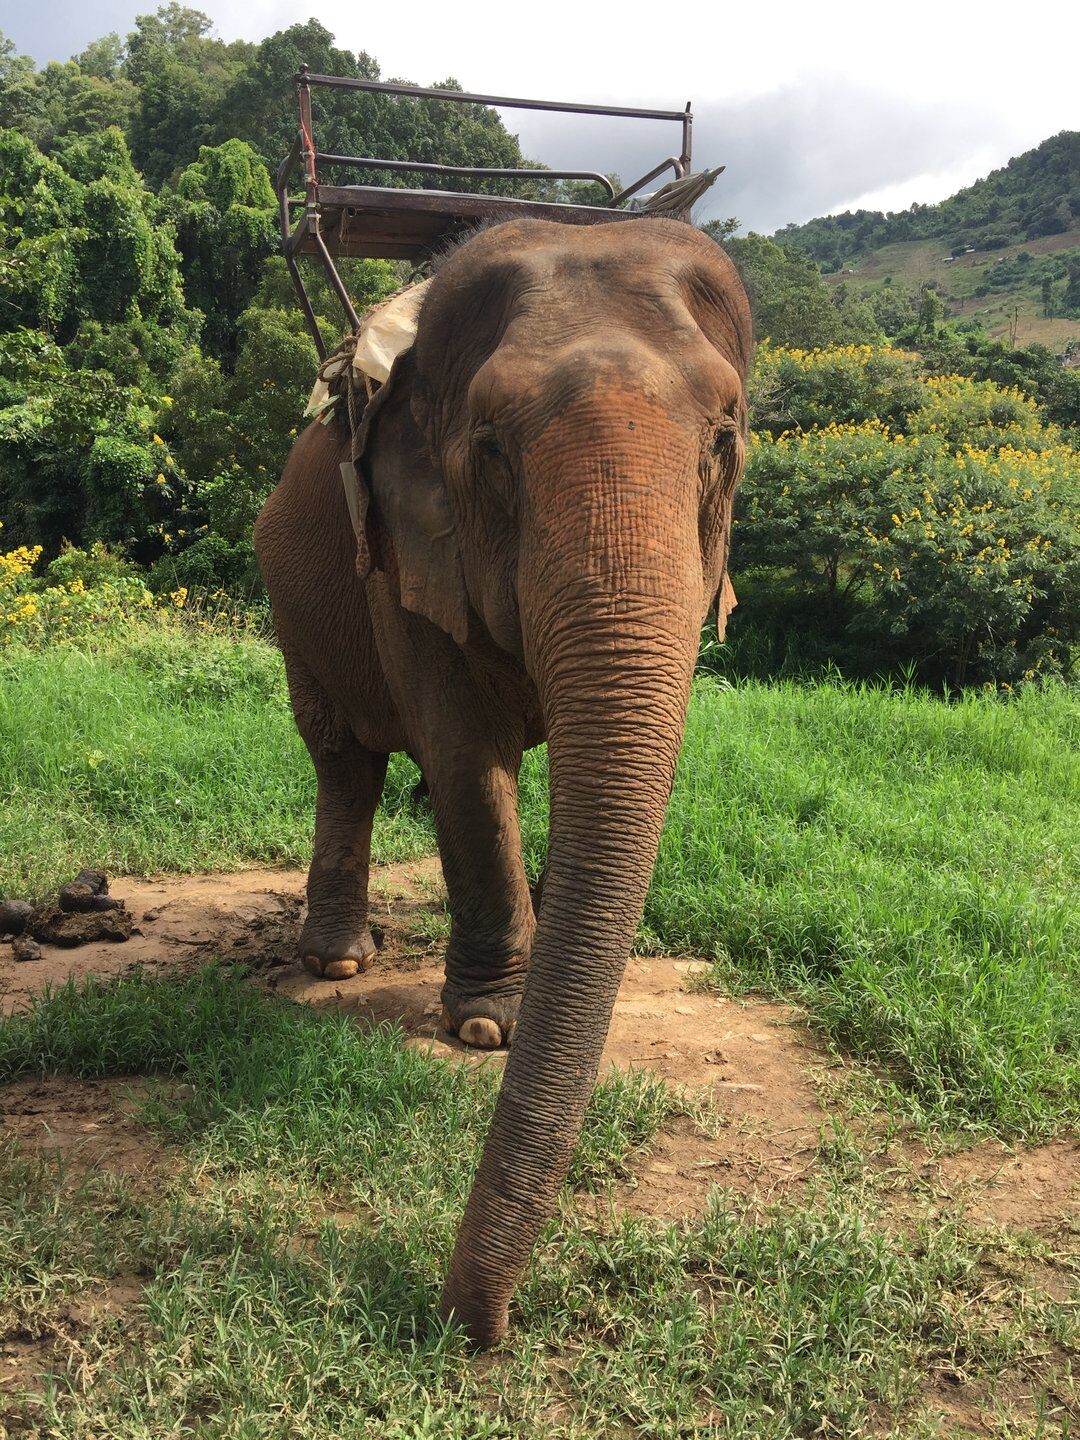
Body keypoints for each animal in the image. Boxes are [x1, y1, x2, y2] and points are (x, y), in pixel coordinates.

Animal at [254, 215, 752, 1346]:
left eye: (725, 442)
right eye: (487, 450)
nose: (470, 1328)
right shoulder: (402, 554)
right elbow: (463, 759)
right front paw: (487, 1027)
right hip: (296, 609)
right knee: (344, 761)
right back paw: (337, 962)